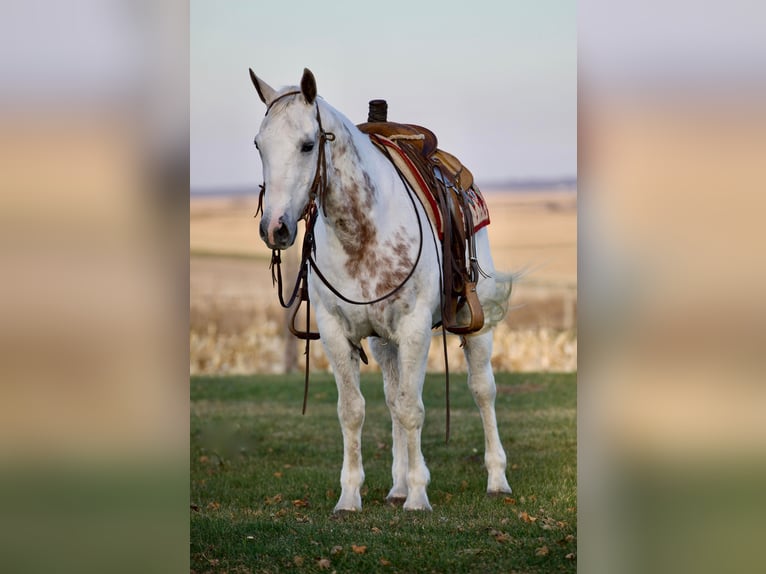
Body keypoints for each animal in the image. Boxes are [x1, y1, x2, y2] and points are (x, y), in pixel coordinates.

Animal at [254, 67, 516, 512]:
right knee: (392, 397)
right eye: (259, 145)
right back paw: (396, 486)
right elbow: (354, 410)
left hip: (476, 323)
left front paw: (419, 497)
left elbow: (412, 407)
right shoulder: (336, 332)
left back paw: (496, 479)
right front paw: (350, 496)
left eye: (307, 144)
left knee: (483, 390)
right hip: (383, 342)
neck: (361, 231)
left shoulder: (413, 329)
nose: (275, 227)